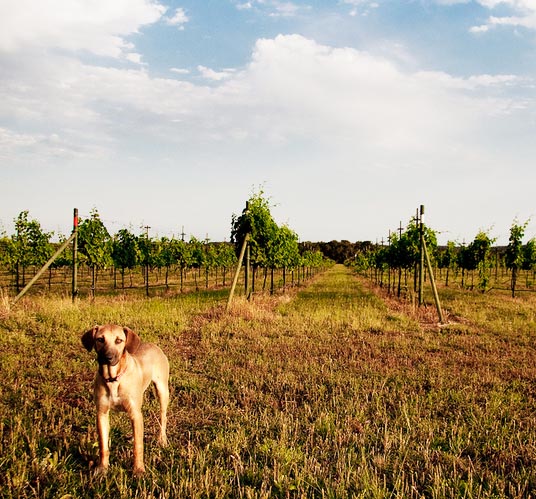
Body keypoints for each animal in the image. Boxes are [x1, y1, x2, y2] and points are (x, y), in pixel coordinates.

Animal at [81, 324, 170, 476]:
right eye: (100, 339)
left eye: (119, 340)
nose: (108, 358)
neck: (113, 379)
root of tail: (154, 345)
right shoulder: (102, 413)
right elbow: (103, 445)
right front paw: (102, 468)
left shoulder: (135, 413)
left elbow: (138, 446)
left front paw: (138, 470)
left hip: (162, 391)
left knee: (163, 417)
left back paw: (162, 439)